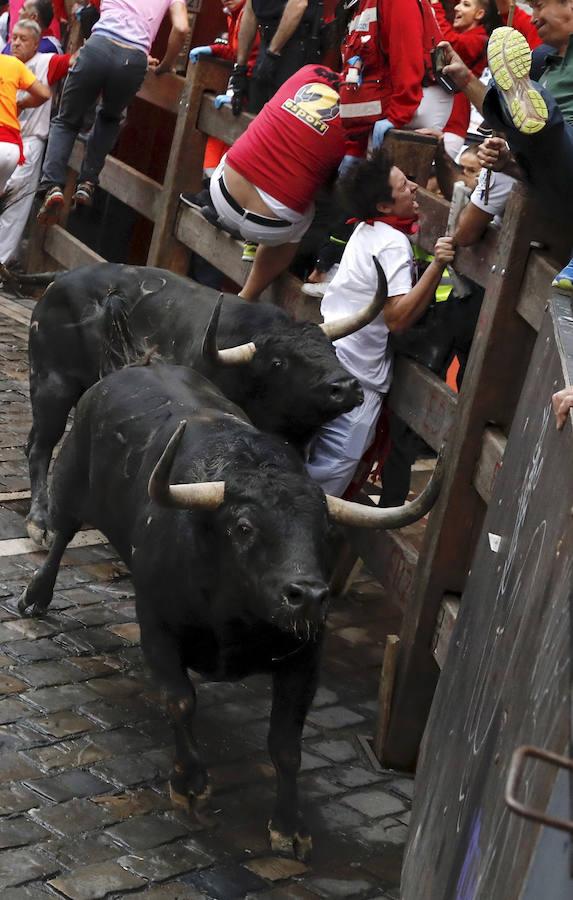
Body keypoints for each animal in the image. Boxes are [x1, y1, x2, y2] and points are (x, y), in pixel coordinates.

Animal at [20, 364, 442, 856]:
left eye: (325, 531)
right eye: (244, 527)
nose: (308, 596)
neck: (236, 617)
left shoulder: (305, 660)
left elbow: (286, 745)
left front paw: (289, 824)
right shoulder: (157, 626)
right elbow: (180, 701)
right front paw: (190, 782)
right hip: (70, 482)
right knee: (61, 534)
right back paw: (35, 594)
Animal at [24, 256, 386, 544]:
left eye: (332, 349)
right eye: (279, 362)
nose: (345, 386)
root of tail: (61, 279)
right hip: (52, 384)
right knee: (40, 447)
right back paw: (39, 521)